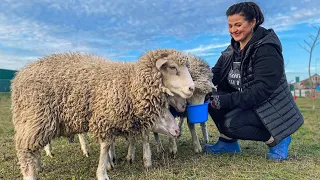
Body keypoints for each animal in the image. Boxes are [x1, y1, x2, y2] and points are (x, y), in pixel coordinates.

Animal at [11, 49, 194, 180]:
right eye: (172, 67)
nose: (192, 89)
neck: (129, 83)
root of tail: (18, 76)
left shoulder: (109, 120)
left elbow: (108, 146)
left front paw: (109, 164)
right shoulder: (105, 118)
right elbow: (105, 147)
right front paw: (103, 173)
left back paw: (39, 165)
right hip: (36, 116)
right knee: (25, 150)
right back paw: (31, 173)